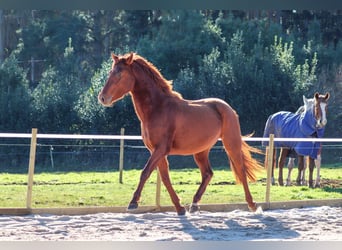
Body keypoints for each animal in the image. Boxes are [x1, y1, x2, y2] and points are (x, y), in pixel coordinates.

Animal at [97, 52, 264, 215]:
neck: (158, 108)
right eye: (111, 72)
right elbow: (165, 178)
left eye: (120, 74)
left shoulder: (160, 149)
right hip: (201, 151)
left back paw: (253, 205)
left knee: (241, 170)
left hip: (231, 144)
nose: (102, 98)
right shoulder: (156, 151)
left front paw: (133, 203)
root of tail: (228, 108)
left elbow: (145, 172)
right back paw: (194, 205)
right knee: (208, 173)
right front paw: (179, 208)